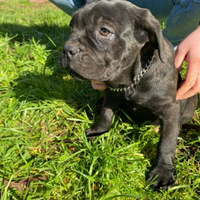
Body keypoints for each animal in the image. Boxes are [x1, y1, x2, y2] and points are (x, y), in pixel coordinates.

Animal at [60, 0, 198, 190]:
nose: (67, 49)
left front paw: (162, 172)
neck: (132, 80)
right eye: (72, 27)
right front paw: (97, 132)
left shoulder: (170, 108)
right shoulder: (112, 93)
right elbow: (106, 115)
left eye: (104, 31)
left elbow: (166, 142)